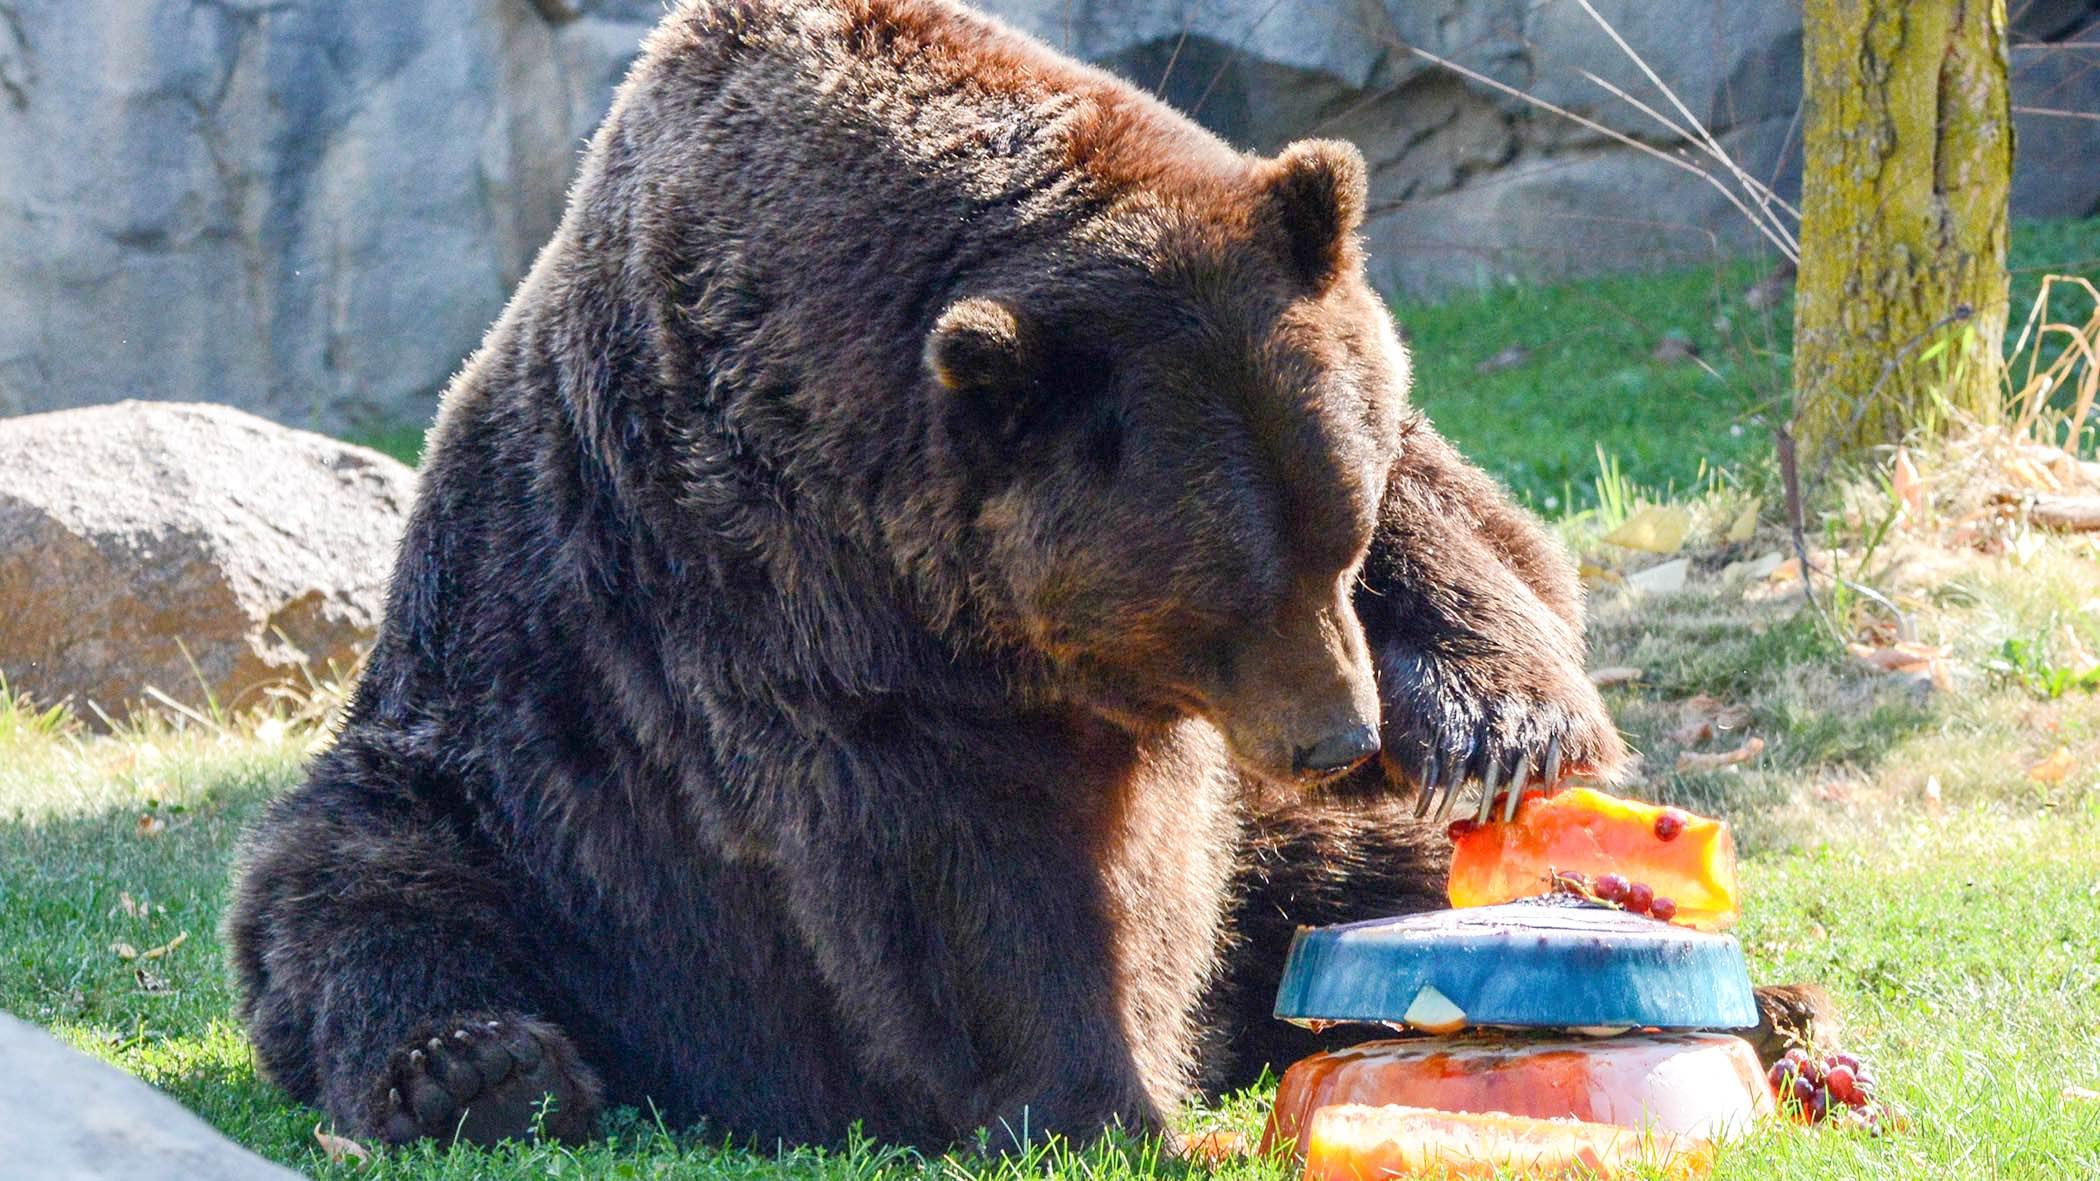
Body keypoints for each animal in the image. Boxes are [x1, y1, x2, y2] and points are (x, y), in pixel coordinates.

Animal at [234, 0, 1637, 1143]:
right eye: (1212, 600)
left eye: (1333, 541)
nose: (1339, 735)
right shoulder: (778, 587)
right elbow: (951, 863)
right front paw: (1095, 1099)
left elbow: (1493, 537)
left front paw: (1500, 730)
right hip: (501, 791)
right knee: (363, 888)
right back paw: (474, 1069)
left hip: (1263, 837)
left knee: (1356, 872)